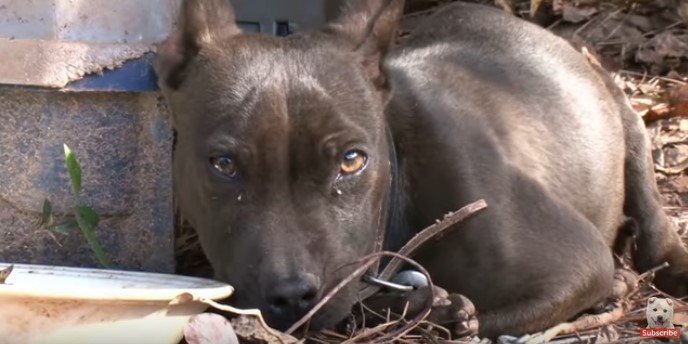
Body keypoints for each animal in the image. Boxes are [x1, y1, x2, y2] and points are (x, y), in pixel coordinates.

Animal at [153, 0, 688, 338]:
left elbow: (474, 322)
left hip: (629, 125)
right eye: (223, 165)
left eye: (351, 160)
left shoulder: (576, 266)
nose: (291, 296)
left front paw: (433, 309)